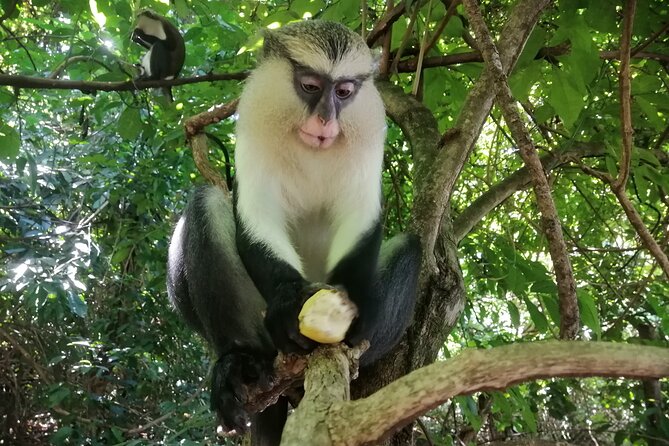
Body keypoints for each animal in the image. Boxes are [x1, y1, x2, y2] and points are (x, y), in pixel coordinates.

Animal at [167, 20, 421, 445]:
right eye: (310, 86)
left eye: (343, 92)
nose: (325, 120)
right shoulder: (255, 116)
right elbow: (257, 215)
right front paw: (288, 303)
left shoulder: (369, 133)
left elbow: (360, 219)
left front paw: (352, 308)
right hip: (261, 333)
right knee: (206, 201)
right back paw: (237, 363)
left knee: (412, 245)